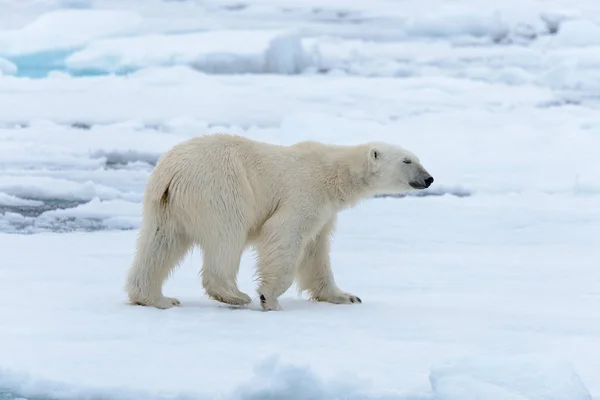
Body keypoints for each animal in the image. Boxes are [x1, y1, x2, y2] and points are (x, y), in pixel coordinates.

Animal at [124, 133, 434, 310]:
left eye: (418, 158)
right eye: (407, 161)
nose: (429, 178)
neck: (333, 173)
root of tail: (171, 170)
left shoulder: (325, 211)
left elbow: (316, 252)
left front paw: (345, 296)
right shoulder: (304, 192)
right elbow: (285, 234)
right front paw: (269, 298)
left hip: (165, 204)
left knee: (160, 243)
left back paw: (155, 298)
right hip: (219, 186)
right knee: (227, 234)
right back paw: (234, 295)